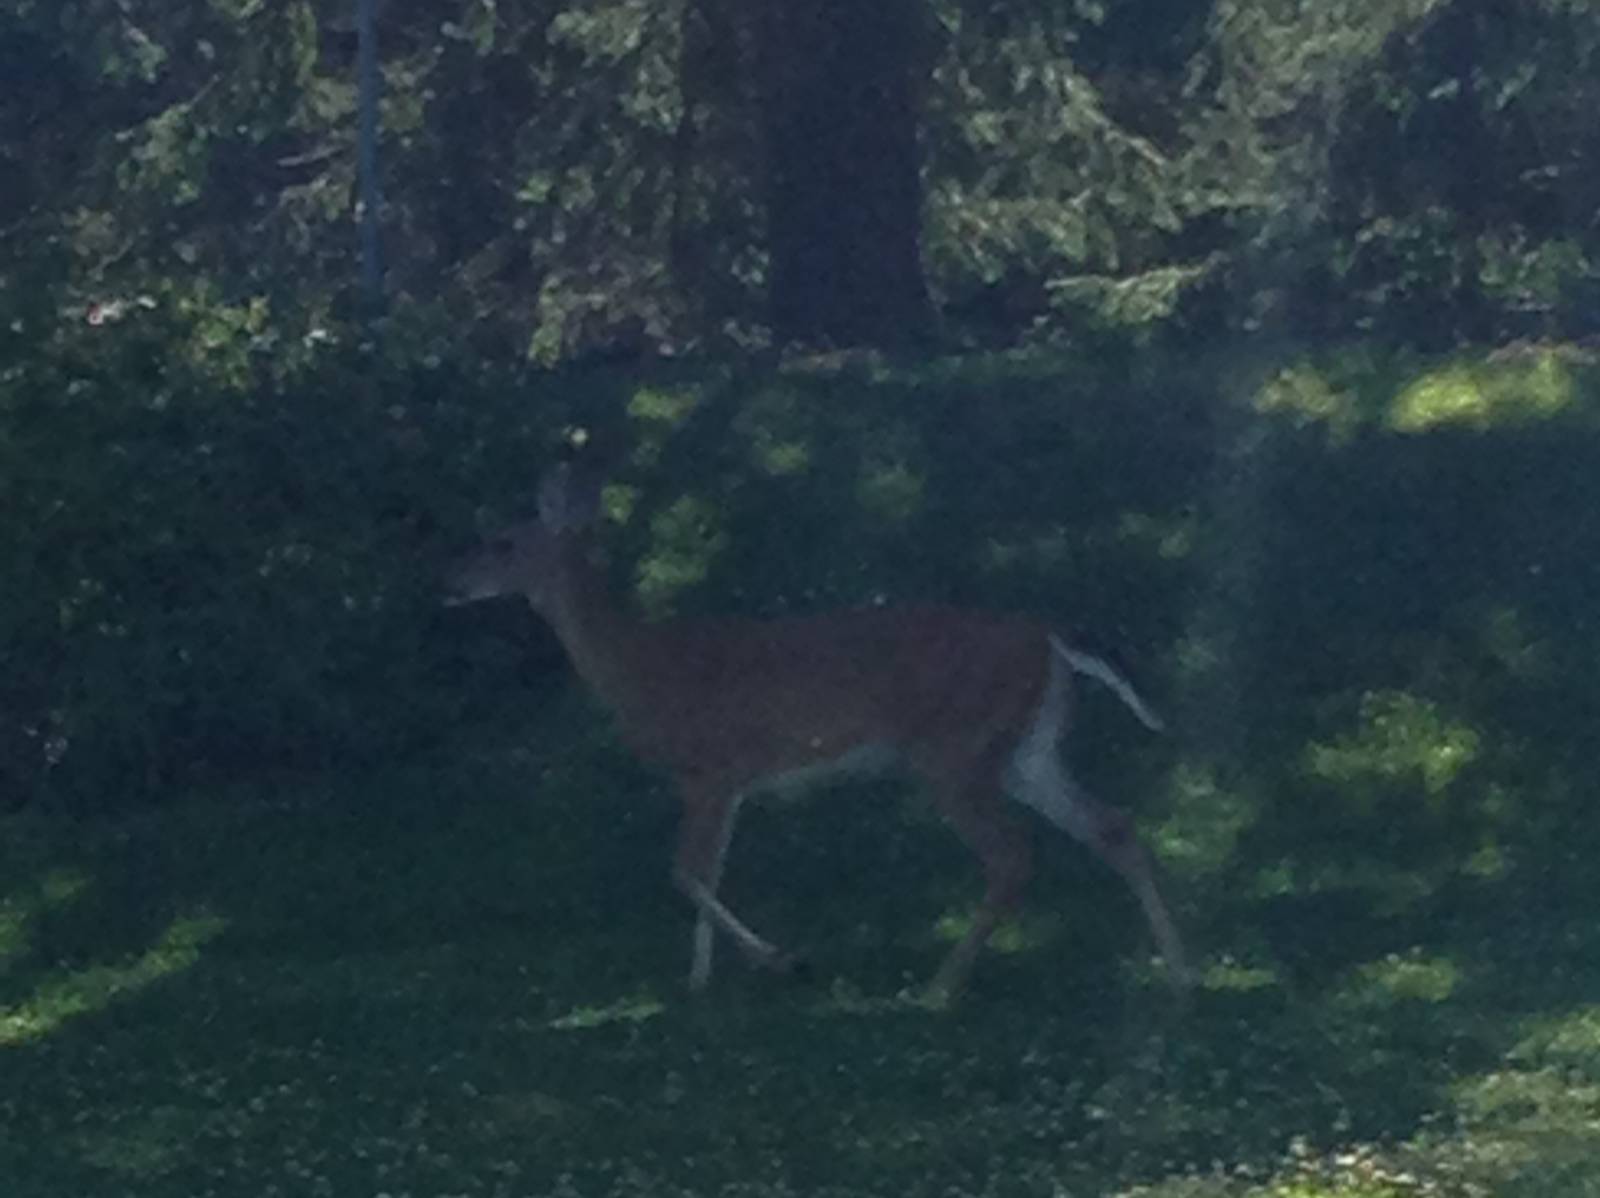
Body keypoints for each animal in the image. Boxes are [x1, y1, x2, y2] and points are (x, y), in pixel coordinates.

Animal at [446, 461, 1190, 1002]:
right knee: (1113, 826)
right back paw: (1176, 968)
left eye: (503, 542)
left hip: (953, 749)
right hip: (1025, 752)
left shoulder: (712, 767)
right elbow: (706, 871)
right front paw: (700, 980)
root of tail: (1051, 641)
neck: (643, 667)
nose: (450, 580)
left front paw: (779, 959)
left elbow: (684, 871)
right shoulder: (728, 783)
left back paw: (937, 988)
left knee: (1012, 858)